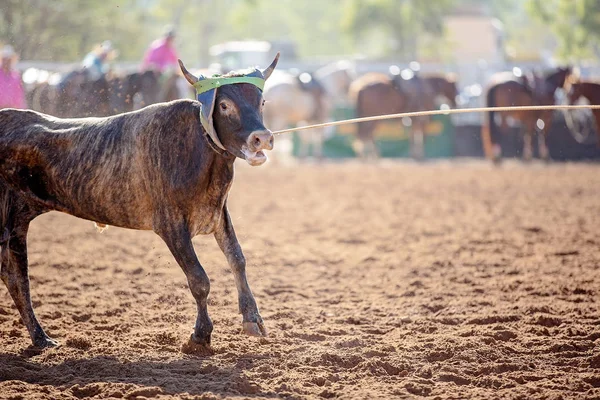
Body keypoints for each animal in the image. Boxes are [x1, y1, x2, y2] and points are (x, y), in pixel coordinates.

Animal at [0, 54, 280, 352]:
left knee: (15, 276)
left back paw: (41, 338)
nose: (262, 138)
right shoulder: (171, 225)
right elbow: (199, 279)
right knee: (16, 276)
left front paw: (253, 319)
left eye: (261, 101)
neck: (195, 149)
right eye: (225, 105)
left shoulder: (218, 213)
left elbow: (237, 258)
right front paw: (200, 336)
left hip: (18, 218)